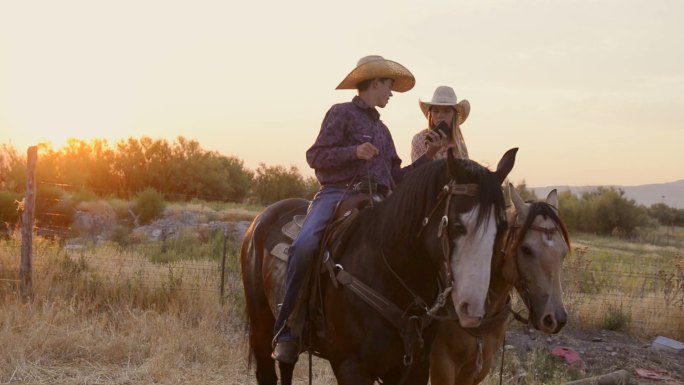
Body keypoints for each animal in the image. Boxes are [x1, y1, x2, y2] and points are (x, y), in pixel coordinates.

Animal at [240, 148, 520, 384]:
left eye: (503, 229)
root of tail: (259, 221)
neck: (389, 273)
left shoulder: (414, 368)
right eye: (458, 225)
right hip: (262, 327)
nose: (473, 309)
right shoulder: (351, 368)